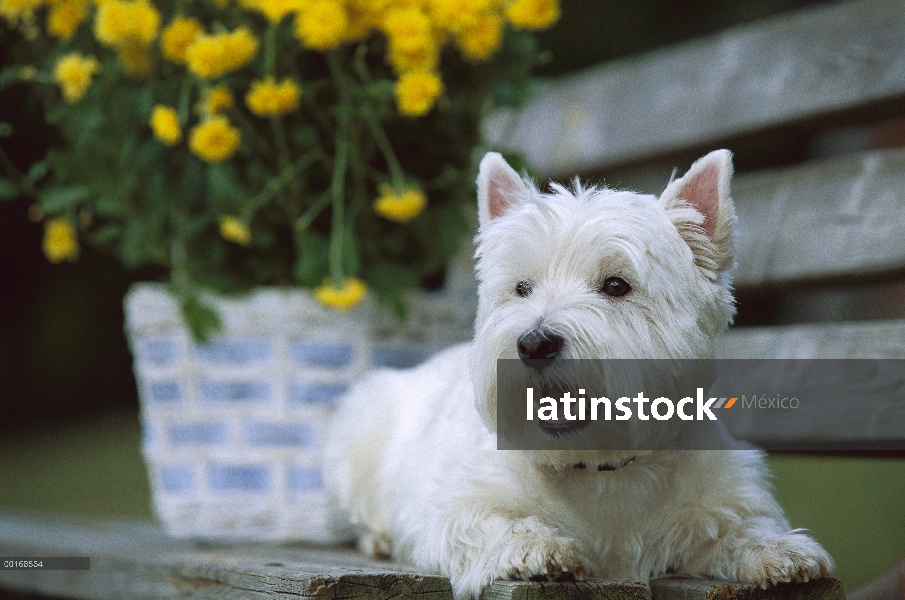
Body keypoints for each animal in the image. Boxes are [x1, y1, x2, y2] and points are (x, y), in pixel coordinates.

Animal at [324, 151, 832, 600]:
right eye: (521, 288)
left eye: (616, 285)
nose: (533, 344)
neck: (600, 467)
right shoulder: (454, 508)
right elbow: (485, 522)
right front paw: (539, 548)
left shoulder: (721, 500)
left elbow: (744, 527)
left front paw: (785, 553)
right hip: (362, 424)